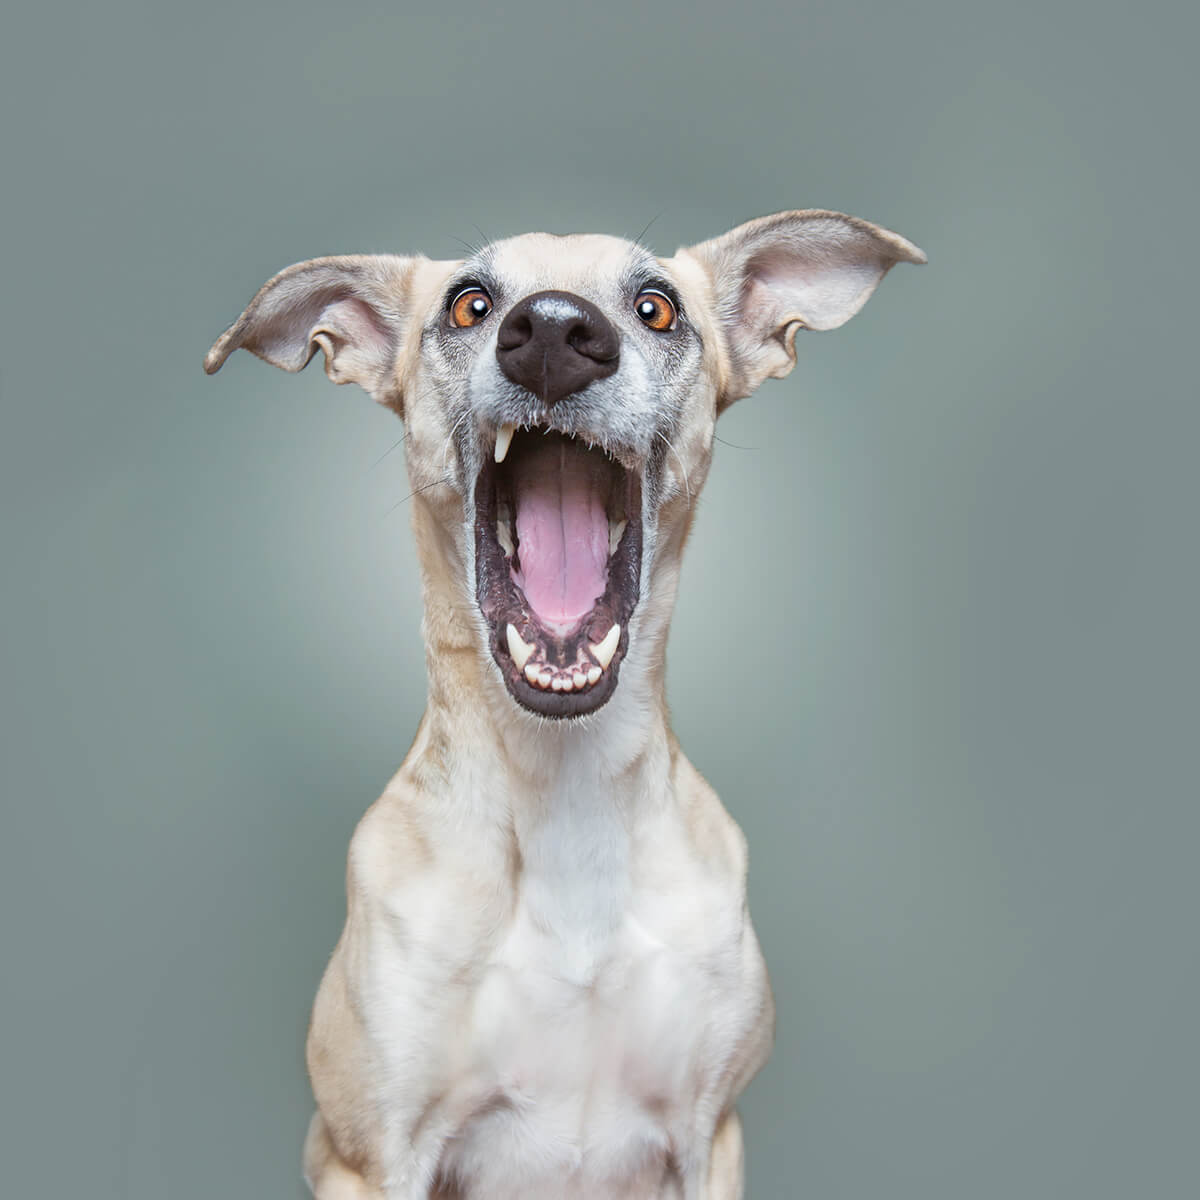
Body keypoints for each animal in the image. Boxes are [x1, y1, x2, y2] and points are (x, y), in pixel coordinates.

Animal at [204, 211, 926, 1195]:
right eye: (470, 304)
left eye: (656, 306)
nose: (552, 332)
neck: (566, 793)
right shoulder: (371, 1157)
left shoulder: (711, 1136)